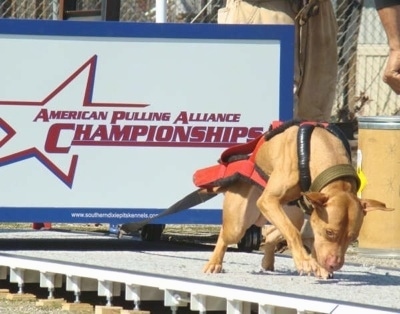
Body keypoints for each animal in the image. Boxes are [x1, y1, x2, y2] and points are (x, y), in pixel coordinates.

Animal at [203, 122, 390, 278]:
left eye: (352, 237)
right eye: (330, 232)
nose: (334, 265)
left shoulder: (313, 215)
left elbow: (309, 240)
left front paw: (318, 266)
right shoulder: (268, 201)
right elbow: (292, 233)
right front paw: (305, 262)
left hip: (294, 215)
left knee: (271, 235)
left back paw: (268, 262)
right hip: (240, 224)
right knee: (225, 235)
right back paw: (214, 263)